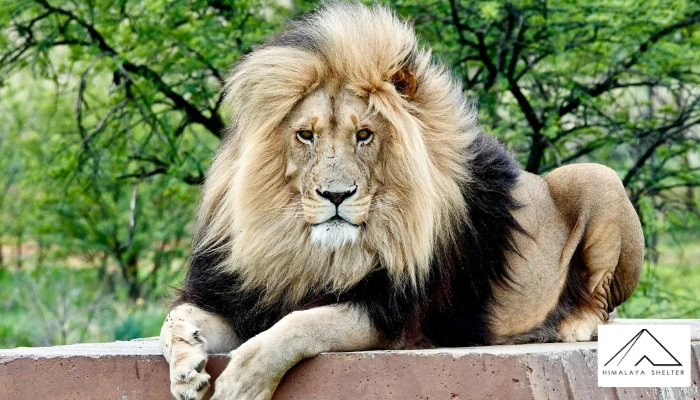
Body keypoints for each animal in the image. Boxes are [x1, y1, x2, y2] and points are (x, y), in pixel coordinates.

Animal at [159, 3, 644, 400]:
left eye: (364, 135)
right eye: (305, 135)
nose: (336, 195)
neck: (313, 251)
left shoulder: (395, 313)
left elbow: (302, 323)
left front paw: (244, 380)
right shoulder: (239, 294)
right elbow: (174, 319)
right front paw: (186, 369)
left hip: (599, 176)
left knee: (604, 305)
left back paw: (573, 324)